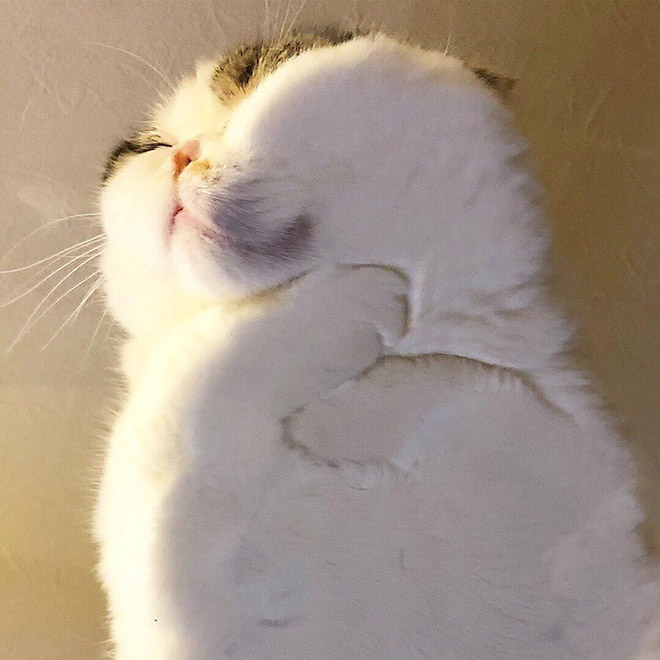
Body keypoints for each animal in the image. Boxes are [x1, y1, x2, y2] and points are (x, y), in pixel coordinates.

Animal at [94, 31, 660, 660]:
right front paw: (362, 314)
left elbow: (488, 388)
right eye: (151, 147)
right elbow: (190, 369)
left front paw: (361, 405)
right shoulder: (169, 579)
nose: (182, 155)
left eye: (255, 78)